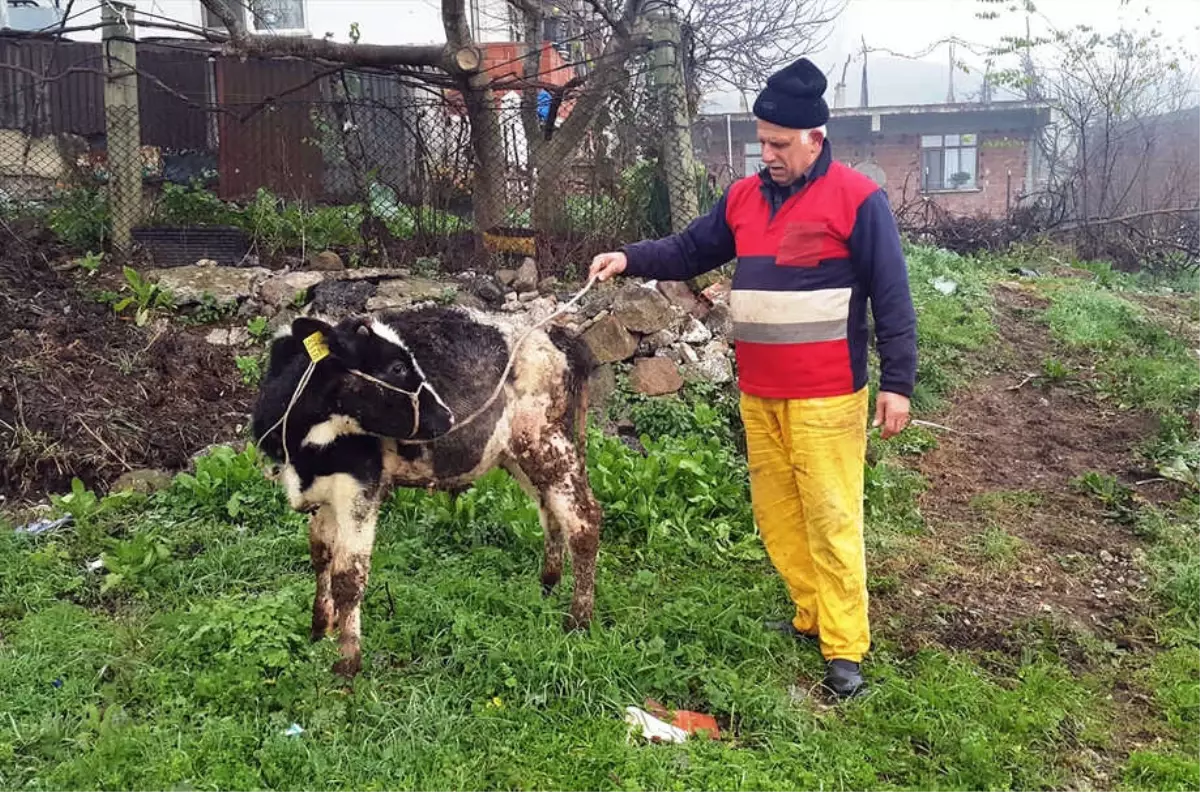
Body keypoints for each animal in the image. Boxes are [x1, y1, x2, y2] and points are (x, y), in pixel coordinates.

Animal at [249, 303, 604, 676]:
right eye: (397, 366)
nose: (447, 417)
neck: (300, 446)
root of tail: (553, 333)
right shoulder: (322, 492)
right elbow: (320, 555)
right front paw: (319, 630)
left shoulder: (360, 487)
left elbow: (347, 575)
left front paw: (347, 663)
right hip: (519, 455)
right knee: (550, 513)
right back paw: (546, 589)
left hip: (547, 443)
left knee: (583, 522)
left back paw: (578, 621)